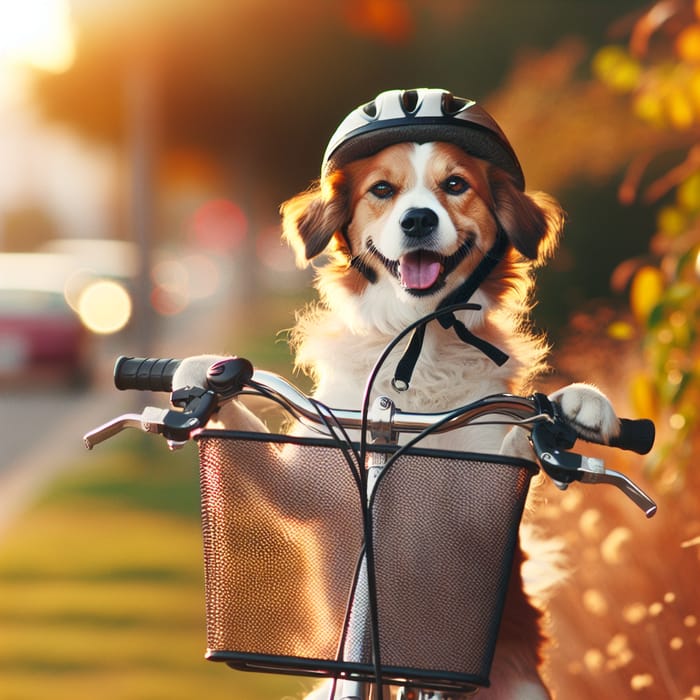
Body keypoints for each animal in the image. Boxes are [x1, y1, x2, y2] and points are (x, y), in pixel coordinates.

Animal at [174, 90, 616, 696]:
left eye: (456, 184)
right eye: (382, 190)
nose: (418, 219)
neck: (414, 343)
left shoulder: (479, 505)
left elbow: (512, 446)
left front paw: (574, 404)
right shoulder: (315, 487)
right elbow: (251, 432)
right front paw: (203, 372)